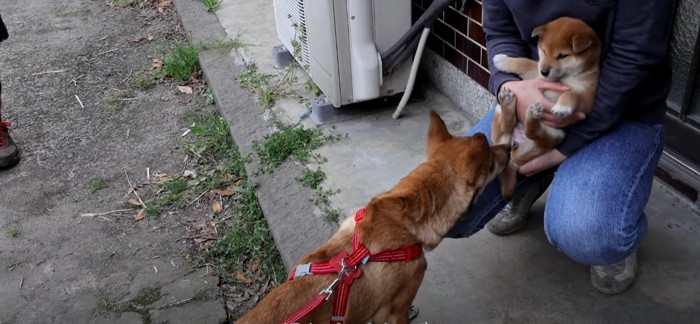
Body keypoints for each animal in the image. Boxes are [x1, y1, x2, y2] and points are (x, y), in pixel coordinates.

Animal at [490, 17, 600, 200]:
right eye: (543, 51)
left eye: (562, 55)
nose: (544, 71)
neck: (564, 78)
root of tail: (512, 156)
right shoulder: (535, 73)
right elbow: (524, 62)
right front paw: (503, 60)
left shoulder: (586, 97)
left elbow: (572, 94)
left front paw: (562, 106)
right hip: (500, 117)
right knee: (506, 125)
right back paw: (508, 103)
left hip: (557, 134)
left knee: (533, 133)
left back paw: (532, 115)